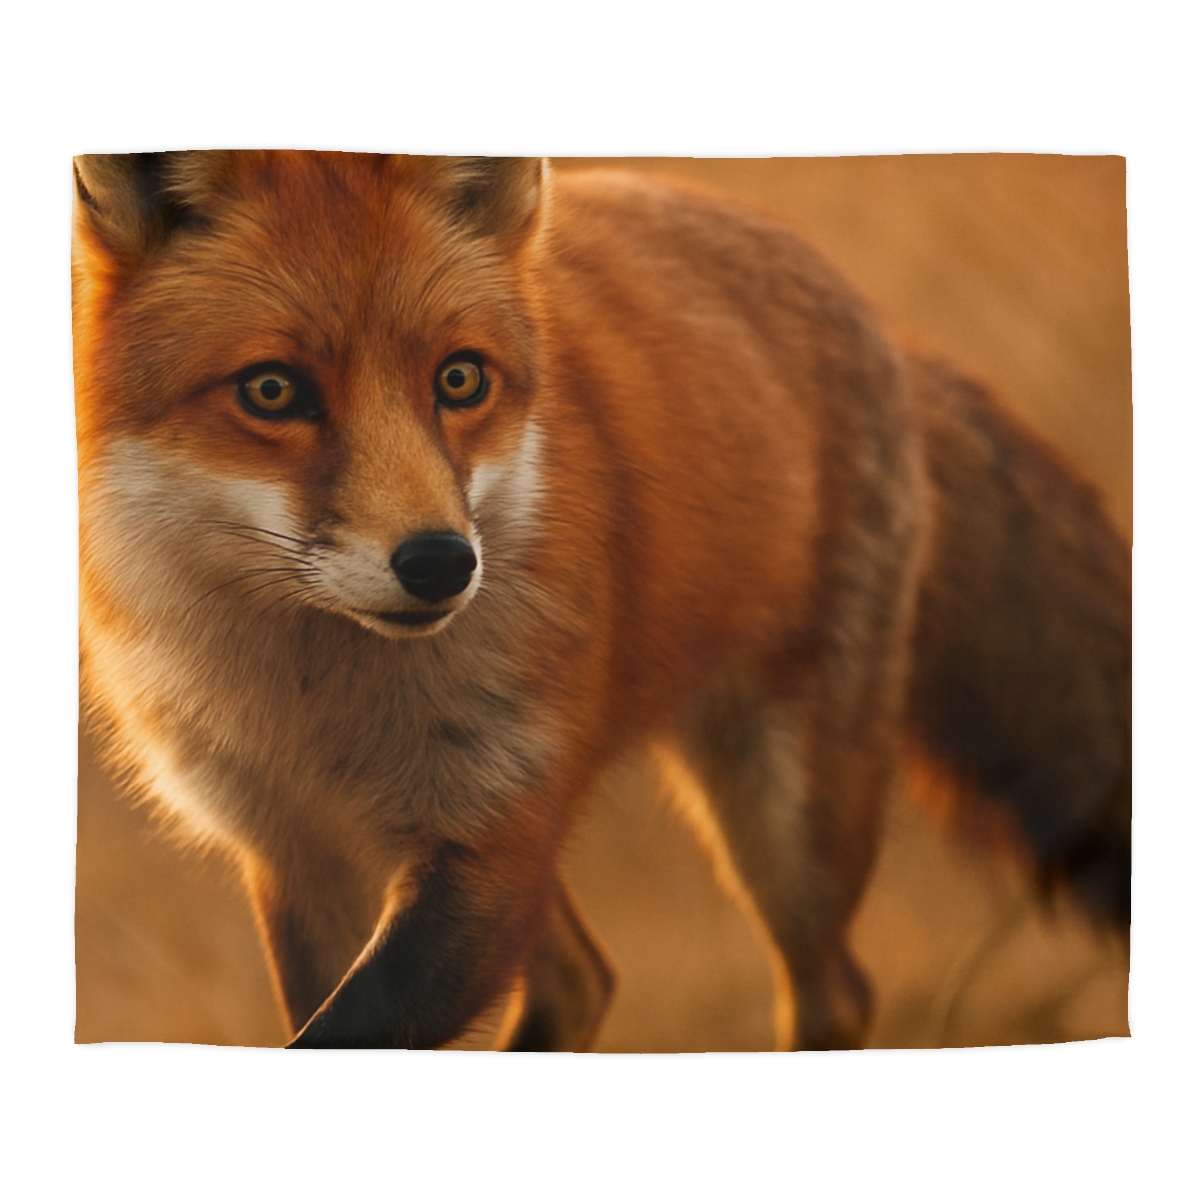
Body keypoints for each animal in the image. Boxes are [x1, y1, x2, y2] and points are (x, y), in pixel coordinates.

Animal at [73, 152, 1131, 1051]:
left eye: (460, 378)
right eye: (272, 391)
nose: (441, 564)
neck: (319, 704)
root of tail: (877, 318)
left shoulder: (493, 831)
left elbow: (343, 1033)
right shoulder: (298, 854)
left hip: (784, 818)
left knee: (830, 991)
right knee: (583, 982)